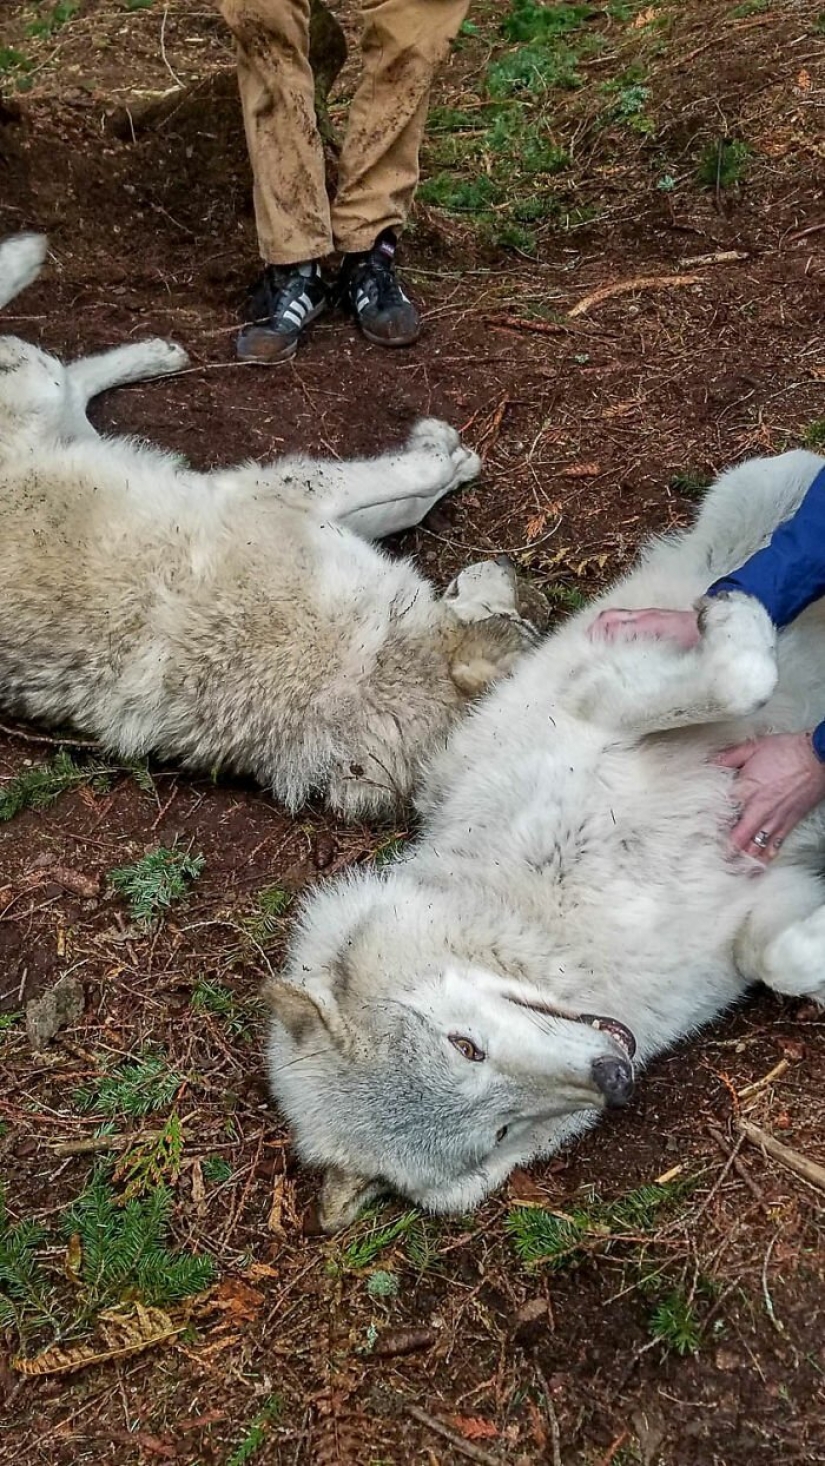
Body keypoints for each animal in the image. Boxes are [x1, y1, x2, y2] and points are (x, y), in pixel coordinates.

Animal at [0, 234, 540, 820]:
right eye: (517, 618)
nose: (511, 565)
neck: (368, 667)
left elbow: (409, 497)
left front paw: (452, 458)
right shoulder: (296, 491)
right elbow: (415, 481)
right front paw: (445, 449)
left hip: (63, 410)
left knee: (78, 378)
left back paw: (156, 349)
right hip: (44, 386)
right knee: (64, 364)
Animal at [265, 446, 825, 1228]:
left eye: (465, 1045)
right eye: (500, 1131)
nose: (613, 1075)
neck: (561, 935)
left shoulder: (602, 706)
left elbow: (737, 677)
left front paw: (734, 613)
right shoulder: (758, 900)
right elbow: (784, 960)